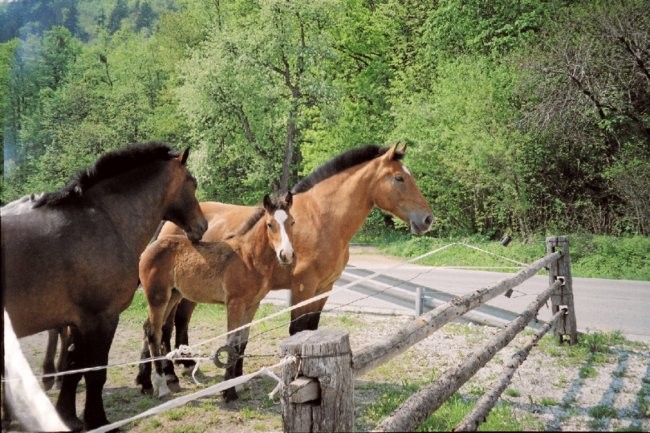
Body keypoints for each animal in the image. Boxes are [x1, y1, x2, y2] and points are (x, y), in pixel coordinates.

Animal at [0, 143, 206, 428]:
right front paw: (97, 419)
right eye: (192, 183)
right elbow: (95, 372)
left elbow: (75, 367)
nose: (202, 226)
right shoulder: (102, 319)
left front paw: (68, 416)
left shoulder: (78, 321)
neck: (104, 221)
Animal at [135, 191, 294, 400]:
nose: (286, 255)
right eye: (270, 224)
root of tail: (149, 248)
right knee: (155, 332)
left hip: (173, 296)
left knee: (151, 327)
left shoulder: (252, 305)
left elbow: (242, 342)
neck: (248, 257)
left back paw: (147, 383)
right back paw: (162, 386)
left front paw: (238, 383)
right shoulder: (235, 303)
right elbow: (232, 342)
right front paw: (228, 391)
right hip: (158, 297)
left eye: (292, 222)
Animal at [155, 143, 432, 398]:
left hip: (188, 291)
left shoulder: (324, 288)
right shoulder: (302, 287)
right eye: (399, 178)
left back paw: (187, 366)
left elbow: (310, 329)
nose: (427, 219)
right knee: (166, 325)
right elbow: (297, 331)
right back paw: (170, 377)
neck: (322, 219)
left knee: (180, 321)